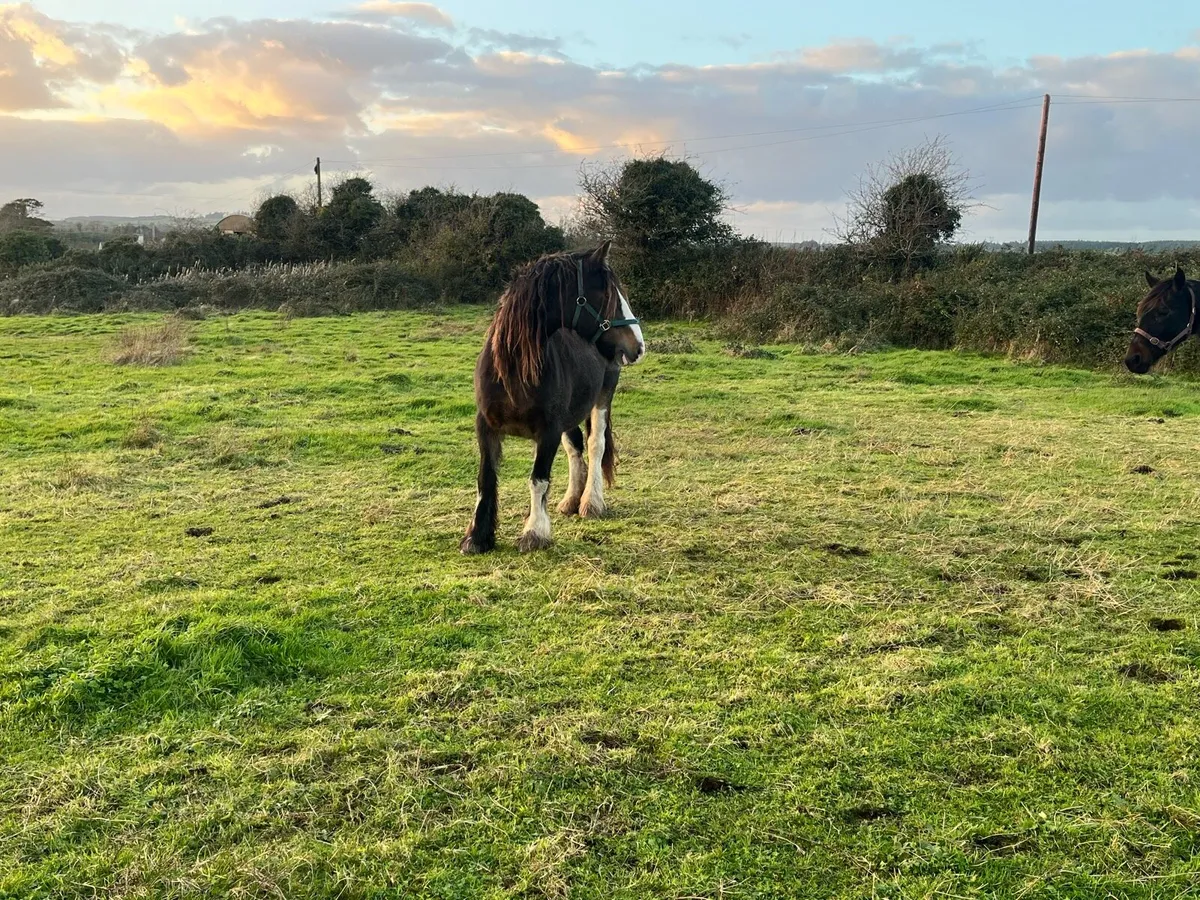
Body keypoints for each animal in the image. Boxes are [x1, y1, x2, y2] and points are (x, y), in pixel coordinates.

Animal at [460, 241, 645, 555]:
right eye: (607, 294)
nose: (639, 345)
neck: (514, 372)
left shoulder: (548, 431)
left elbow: (538, 479)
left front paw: (534, 533)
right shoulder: (486, 426)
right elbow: (486, 477)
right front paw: (477, 537)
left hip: (603, 397)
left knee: (595, 444)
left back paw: (590, 502)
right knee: (575, 447)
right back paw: (571, 499)